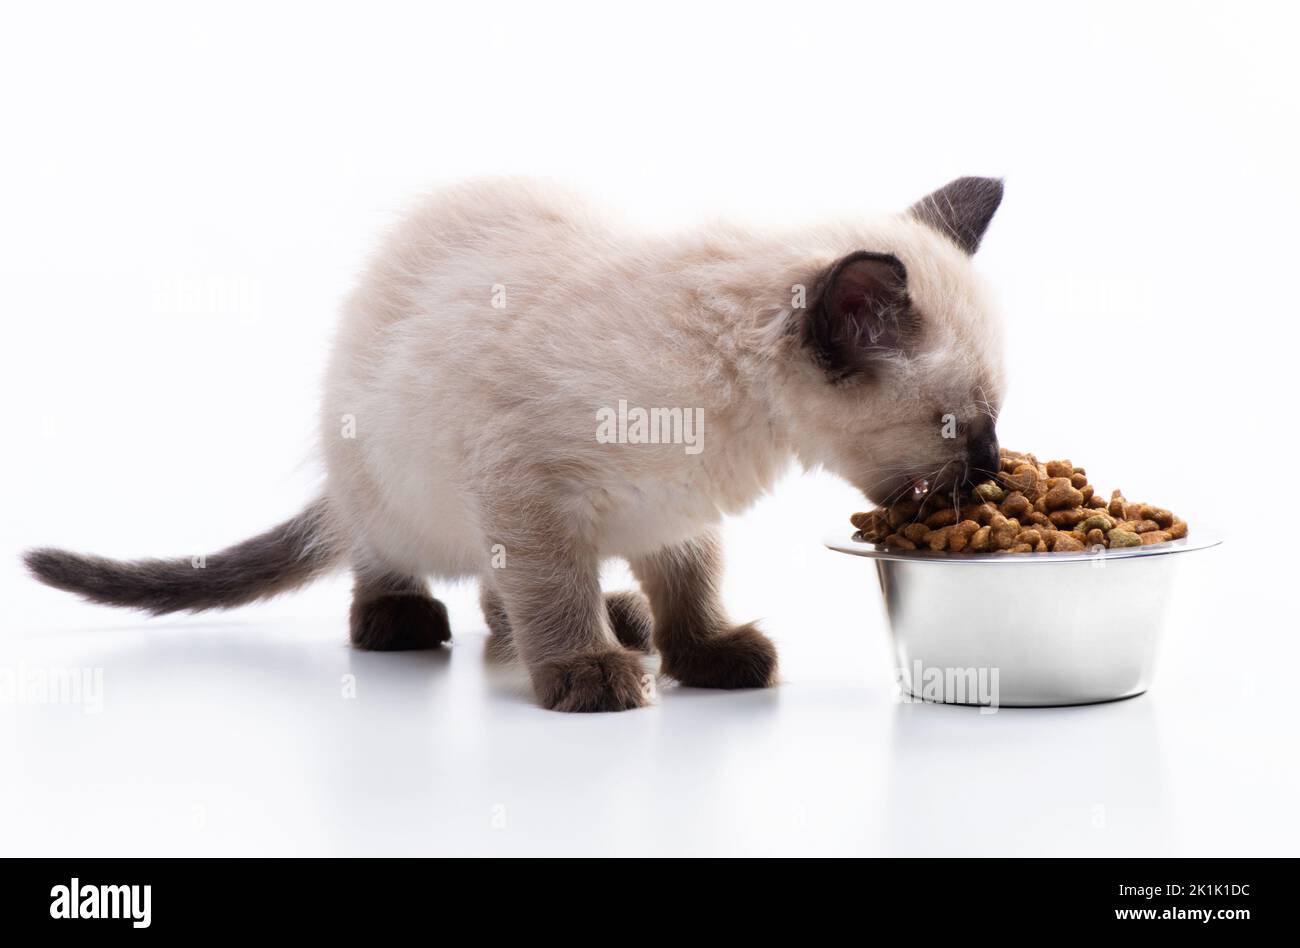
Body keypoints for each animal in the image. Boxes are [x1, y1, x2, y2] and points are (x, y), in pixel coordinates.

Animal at [27, 175, 1003, 707]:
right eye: (963, 426)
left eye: (991, 423)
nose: (993, 470)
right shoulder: (526, 487)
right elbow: (551, 590)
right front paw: (587, 671)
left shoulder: (673, 515)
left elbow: (690, 586)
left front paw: (701, 652)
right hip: (397, 489)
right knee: (389, 561)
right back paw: (407, 619)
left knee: (504, 595)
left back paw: (624, 617)